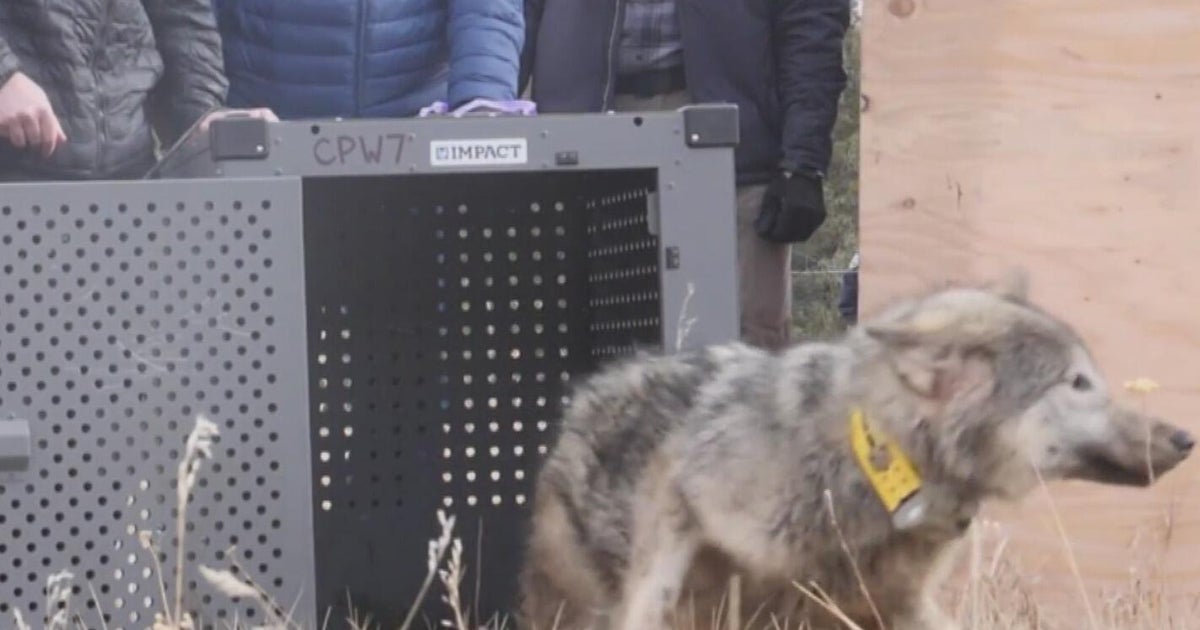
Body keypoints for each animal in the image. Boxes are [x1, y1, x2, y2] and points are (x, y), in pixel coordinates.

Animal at [515, 273, 1195, 630]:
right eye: (1077, 383)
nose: (1184, 438)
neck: (876, 466)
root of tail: (587, 391)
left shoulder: (899, 606)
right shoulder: (682, 495)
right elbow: (651, 595)